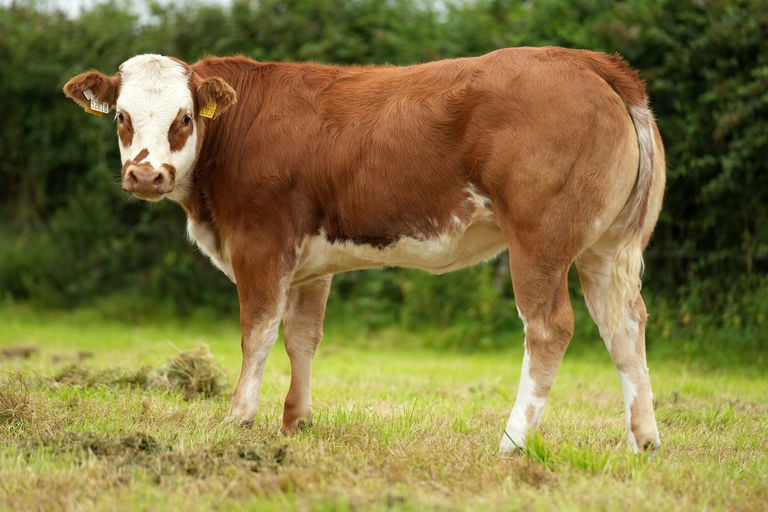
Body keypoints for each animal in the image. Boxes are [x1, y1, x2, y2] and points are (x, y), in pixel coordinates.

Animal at [64, 46, 665, 454]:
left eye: (184, 118)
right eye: (122, 116)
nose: (146, 175)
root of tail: (585, 60)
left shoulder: (261, 244)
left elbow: (257, 334)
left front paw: (238, 420)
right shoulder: (310, 263)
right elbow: (302, 338)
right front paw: (296, 422)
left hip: (539, 241)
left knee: (549, 327)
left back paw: (512, 442)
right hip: (606, 248)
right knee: (624, 324)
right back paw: (641, 441)